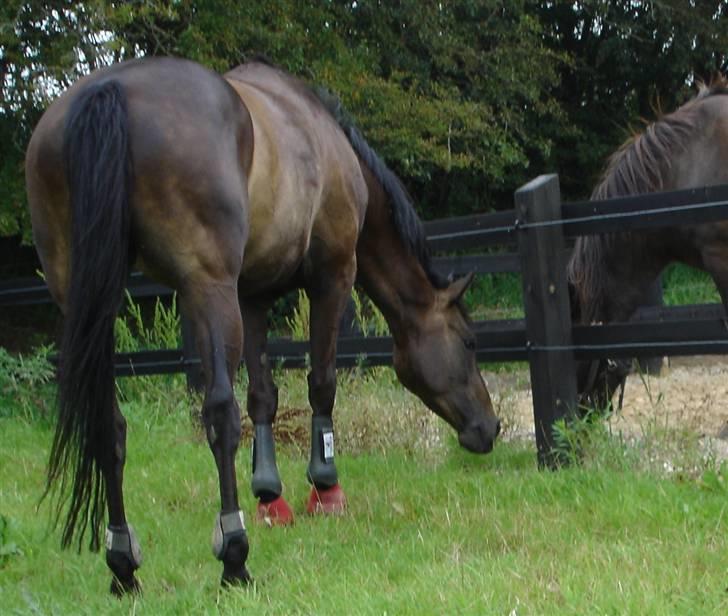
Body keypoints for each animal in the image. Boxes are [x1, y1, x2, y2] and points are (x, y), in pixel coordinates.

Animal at [24, 56, 500, 592]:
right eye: (469, 342)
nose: (490, 427)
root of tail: (109, 90)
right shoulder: (332, 277)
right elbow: (320, 383)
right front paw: (325, 488)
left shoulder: (251, 298)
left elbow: (263, 396)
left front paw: (271, 496)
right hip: (207, 289)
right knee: (219, 416)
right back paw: (234, 555)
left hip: (86, 302)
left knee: (110, 424)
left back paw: (123, 563)